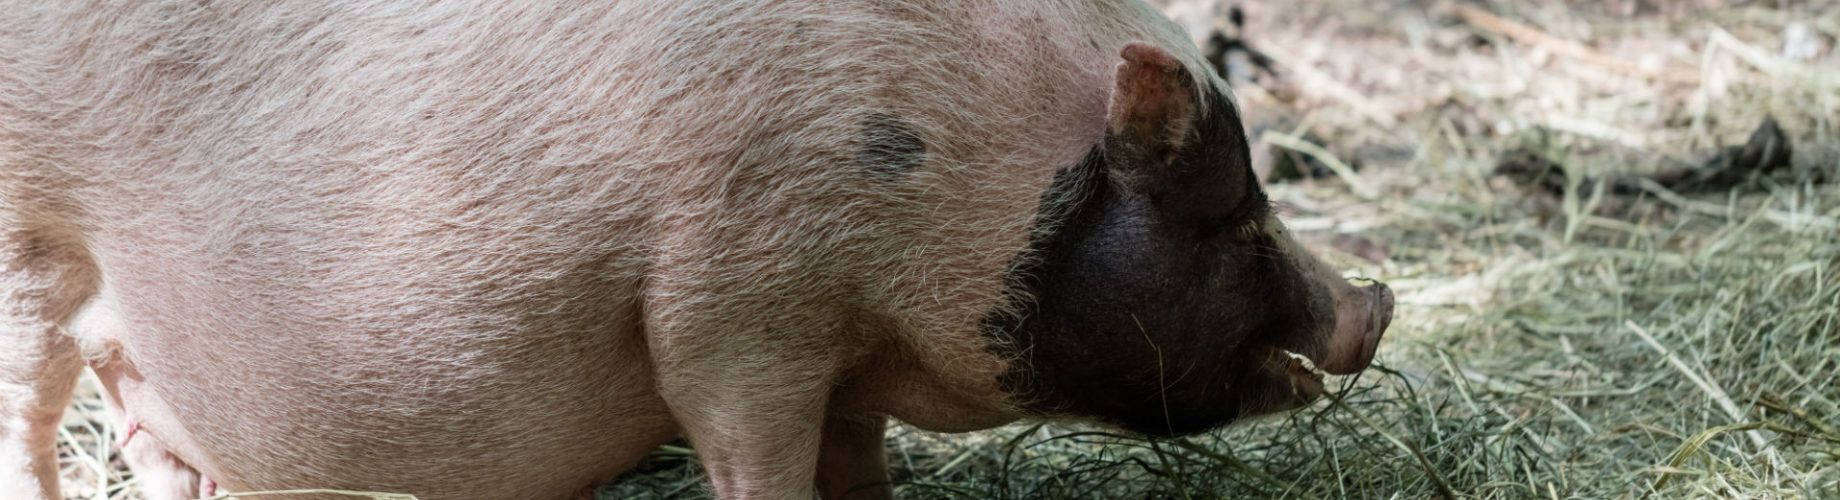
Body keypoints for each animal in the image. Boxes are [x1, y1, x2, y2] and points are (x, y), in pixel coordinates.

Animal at [0, 1, 1393, 499]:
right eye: (1230, 221)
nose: (1374, 307)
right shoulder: (733, 310)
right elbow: (753, 455)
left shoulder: (837, 351)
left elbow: (861, 463)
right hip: (29, 257)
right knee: (30, 422)